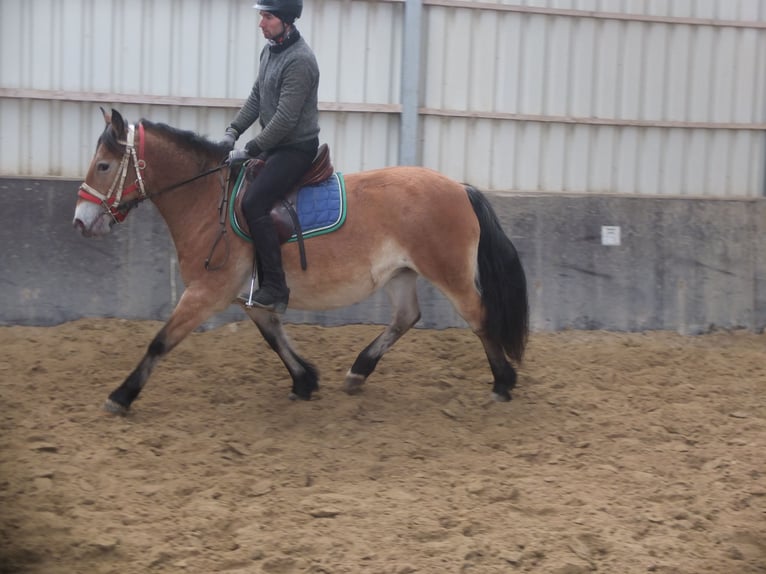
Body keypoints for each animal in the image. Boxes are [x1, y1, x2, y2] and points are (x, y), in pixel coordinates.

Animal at [73, 108, 528, 414]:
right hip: (401, 273)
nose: (81, 221)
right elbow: (273, 336)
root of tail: (460, 188)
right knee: (405, 317)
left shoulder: (206, 293)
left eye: (104, 165)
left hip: (449, 273)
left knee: (478, 316)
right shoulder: (246, 295)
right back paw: (358, 371)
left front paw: (121, 395)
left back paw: (502, 383)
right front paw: (305, 380)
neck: (205, 199)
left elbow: (160, 341)